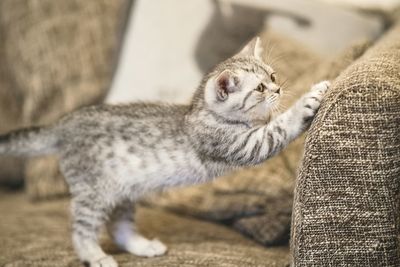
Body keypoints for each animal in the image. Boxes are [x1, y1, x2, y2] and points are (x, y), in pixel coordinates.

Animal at [0, 37, 330, 267]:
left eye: (273, 77)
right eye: (260, 88)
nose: (278, 89)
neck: (199, 112)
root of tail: (64, 122)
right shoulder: (244, 144)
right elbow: (280, 126)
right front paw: (308, 98)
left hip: (123, 190)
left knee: (119, 226)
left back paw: (142, 246)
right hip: (93, 191)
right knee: (81, 227)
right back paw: (94, 255)